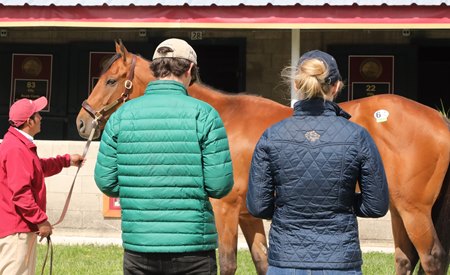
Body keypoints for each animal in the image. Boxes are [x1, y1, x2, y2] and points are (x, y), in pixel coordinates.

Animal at [75, 41, 448, 275]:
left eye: (110, 80)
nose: (82, 122)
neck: (225, 119)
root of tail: (440, 121)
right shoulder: (247, 216)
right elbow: (262, 261)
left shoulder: (225, 211)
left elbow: (227, 263)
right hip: (398, 209)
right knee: (405, 260)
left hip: (414, 211)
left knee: (431, 259)